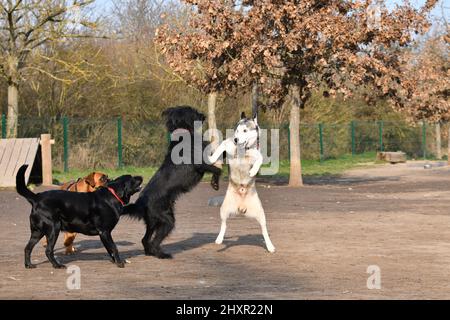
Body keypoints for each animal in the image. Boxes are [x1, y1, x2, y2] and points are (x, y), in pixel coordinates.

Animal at [122, 106, 222, 258]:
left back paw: (150, 253)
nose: (204, 116)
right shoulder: (200, 164)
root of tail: (140, 203)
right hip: (167, 221)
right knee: (154, 241)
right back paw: (161, 254)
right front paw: (215, 183)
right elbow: (217, 169)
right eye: (193, 110)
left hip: (154, 221)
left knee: (145, 239)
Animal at [209, 111, 276, 254]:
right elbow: (220, 147)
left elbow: (260, 159)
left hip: (260, 213)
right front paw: (211, 158)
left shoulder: (256, 154)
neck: (242, 150)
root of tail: (241, 208)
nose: (236, 139)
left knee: (264, 229)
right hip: (224, 209)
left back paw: (270, 246)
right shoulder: (227, 145)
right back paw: (219, 240)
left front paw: (253, 170)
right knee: (224, 224)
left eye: (245, 130)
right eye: (237, 130)